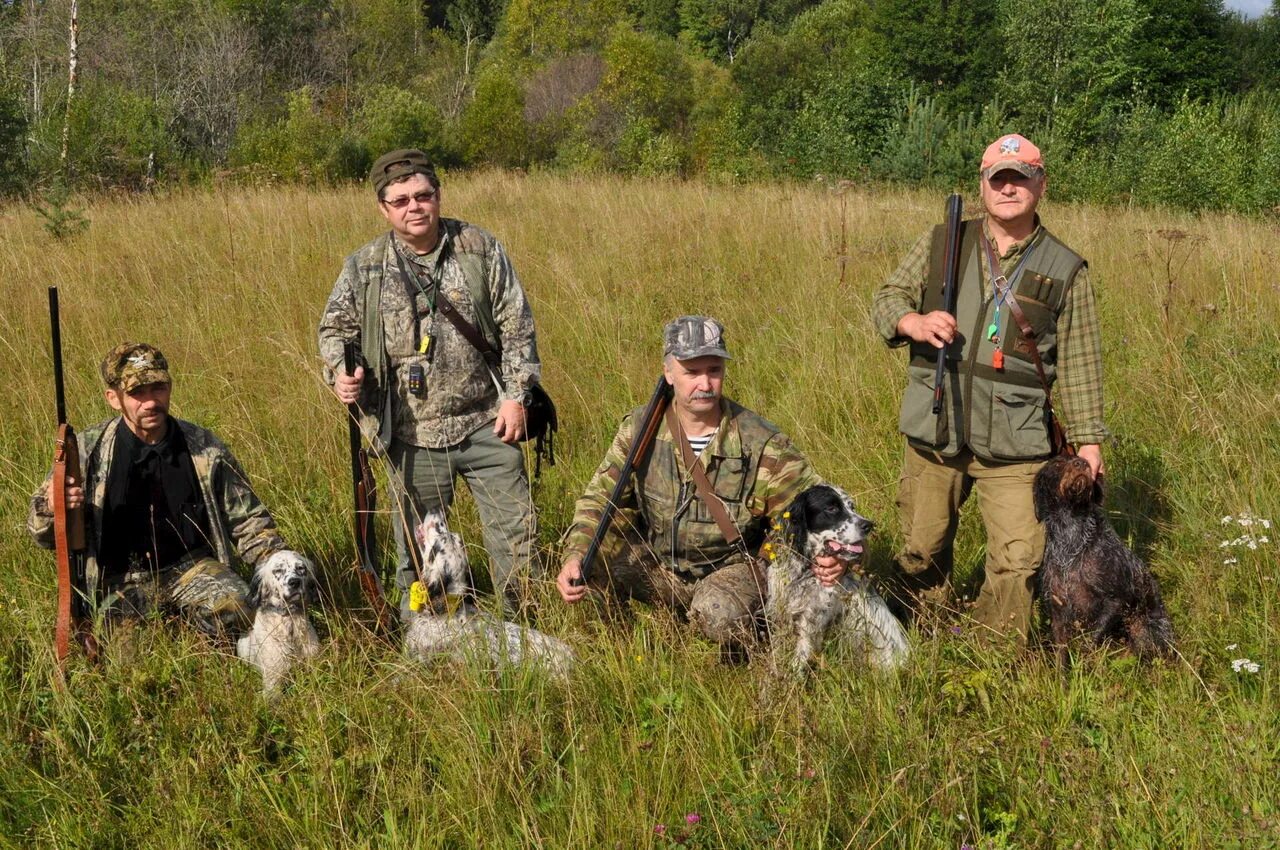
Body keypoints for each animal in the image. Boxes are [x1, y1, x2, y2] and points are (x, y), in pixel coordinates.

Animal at [762, 489, 916, 675]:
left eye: (851, 506)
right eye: (831, 508)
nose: (868, 525)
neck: (806, 571)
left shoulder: (812, 620)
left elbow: (800, 655)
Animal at [1034, 458, 1172, 665]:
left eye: (1086, 462)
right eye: (1057, 464)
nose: (1081, 462)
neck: (1071, 540)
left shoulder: (1117, 601)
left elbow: (1089, 640)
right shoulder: (1058, 612)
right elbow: (1062, 656)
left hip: (1143, 627)